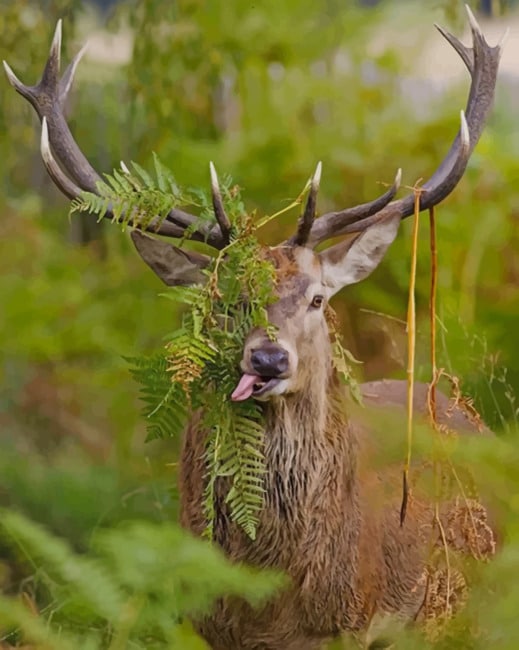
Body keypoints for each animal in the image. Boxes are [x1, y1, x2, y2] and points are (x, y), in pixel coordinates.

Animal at [4, 7, 503, 650]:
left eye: (317, 298)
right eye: (227, 301)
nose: (268, 360)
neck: (274, 602)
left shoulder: (356, 623)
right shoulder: (207, 623)